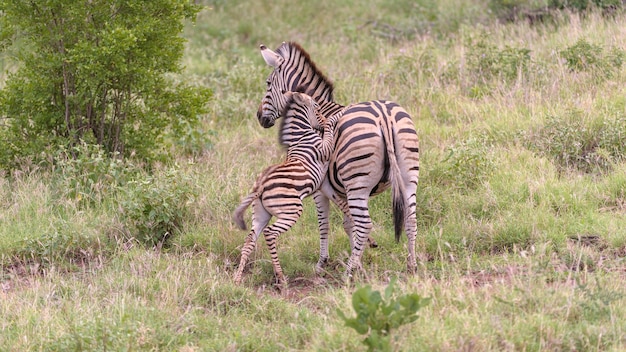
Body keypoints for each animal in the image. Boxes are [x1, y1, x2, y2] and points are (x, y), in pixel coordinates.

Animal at [232, 91, 346, 286]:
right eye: (317, 107)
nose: (322, 119)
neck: (301, 134)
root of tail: (261, 186)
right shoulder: (324, 149)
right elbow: (329, 130)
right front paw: (334, 118)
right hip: (291, 210)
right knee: (270, 234)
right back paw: (280, 277)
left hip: (261, 214)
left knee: (249, 239)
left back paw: (238, 278)